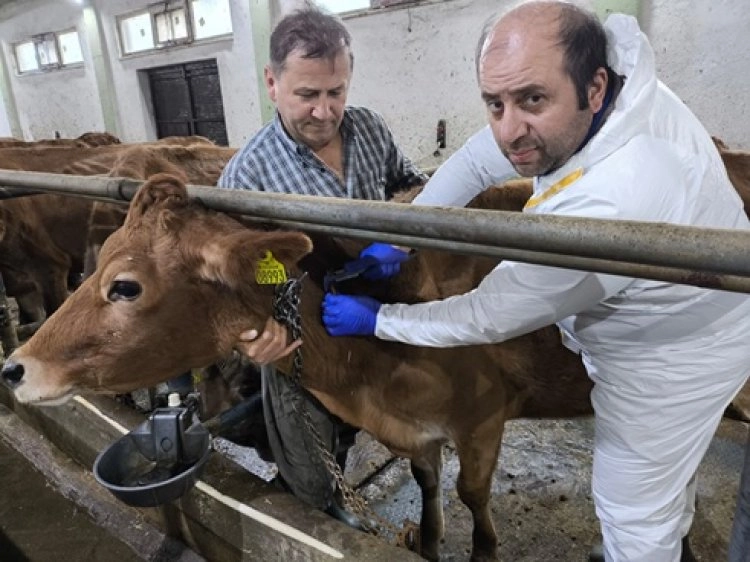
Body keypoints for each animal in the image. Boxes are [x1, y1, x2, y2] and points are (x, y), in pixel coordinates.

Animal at [1, 173, 593, 561]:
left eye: (124, 286)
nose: (15, 368)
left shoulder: (482, 420)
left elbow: (472, 493)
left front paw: (482, 551)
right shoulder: (418, 433)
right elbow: (427, 480)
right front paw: (427, 541)